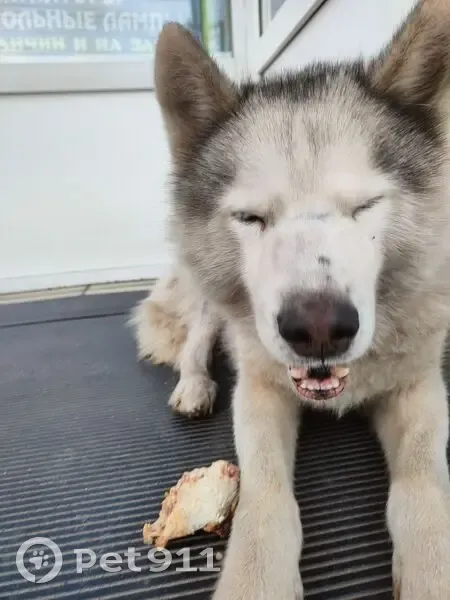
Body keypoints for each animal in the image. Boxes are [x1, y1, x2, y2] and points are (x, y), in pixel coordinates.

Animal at [131, 1, 450, 597]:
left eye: (365, 206)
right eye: (251, 217)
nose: (319, 328)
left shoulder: (418, 388)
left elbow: (422, 481)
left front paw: (432, 564)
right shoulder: (259, 389)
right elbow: (265, 492)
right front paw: (257, 574)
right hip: (210, 304)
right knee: (195, 343)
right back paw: (194, 385)